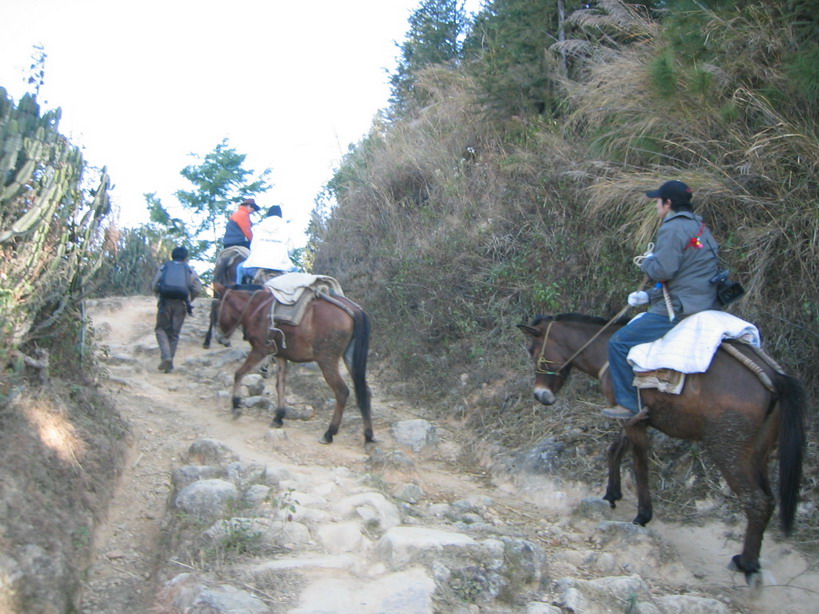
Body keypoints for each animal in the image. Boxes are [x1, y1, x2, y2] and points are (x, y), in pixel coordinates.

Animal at [213, 280, 376, 448]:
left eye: (217, 309)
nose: (219, 337)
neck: (256, 308)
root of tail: (355, 311)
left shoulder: (260, 350)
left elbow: (239, 373)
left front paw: (236, 405)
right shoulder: (280, 355)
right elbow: (280, 385)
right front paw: (278, 417)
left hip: (326, 360)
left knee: (342, 391)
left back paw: (329, 433)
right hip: (350, 358)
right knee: (365, 392)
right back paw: (368, 436)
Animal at [520, 316, 808, 588]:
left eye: (532, 349)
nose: (540, 396)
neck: (604, 350)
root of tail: (774, 377)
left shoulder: (633, 420)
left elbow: (639, 465)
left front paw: (642, 515)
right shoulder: (631, 415)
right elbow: (615, 450)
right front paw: (611, 494)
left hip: (729, 449)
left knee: (755, 500)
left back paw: (746, 563)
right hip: (758, 452)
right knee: (769, 499)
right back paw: (752, 561)